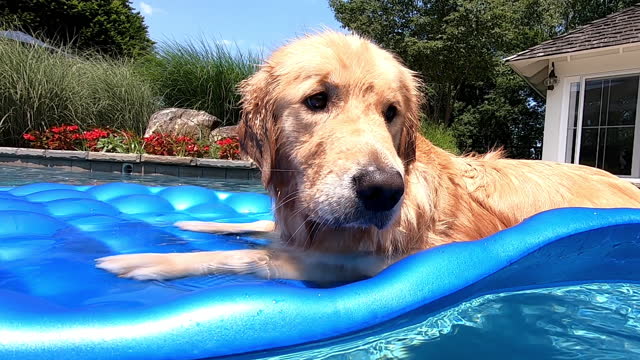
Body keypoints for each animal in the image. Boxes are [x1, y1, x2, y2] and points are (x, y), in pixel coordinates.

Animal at [97, 31, 640, 284]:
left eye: (391, 112)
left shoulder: (369, 264)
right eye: (317, 100)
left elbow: (260, 254)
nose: (383, 191)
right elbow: (258, 229)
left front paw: (147, 261)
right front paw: (197, 225)